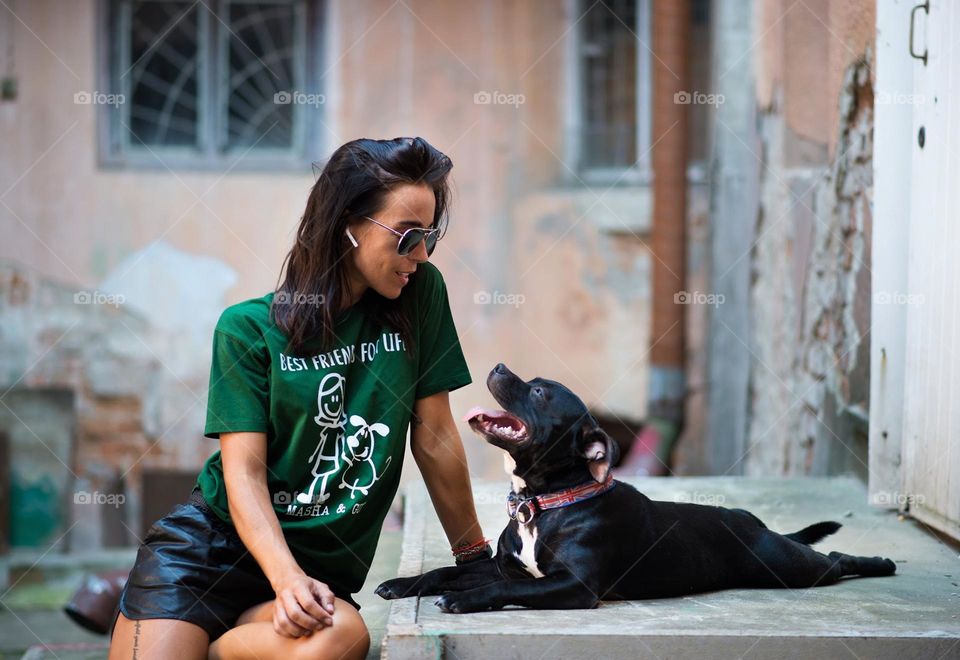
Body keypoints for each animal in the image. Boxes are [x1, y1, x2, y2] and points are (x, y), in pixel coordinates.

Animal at [374, 364, 892, 612]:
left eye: (539, 392)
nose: (500, 365)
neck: (546, 503)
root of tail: (749, 519)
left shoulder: (573, 586)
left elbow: (493, 589)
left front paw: (462, 600)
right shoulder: (507, 568)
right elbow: (445, 570)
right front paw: (403, 583)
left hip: (788, 566)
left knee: (835, 559)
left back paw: (881, 563)